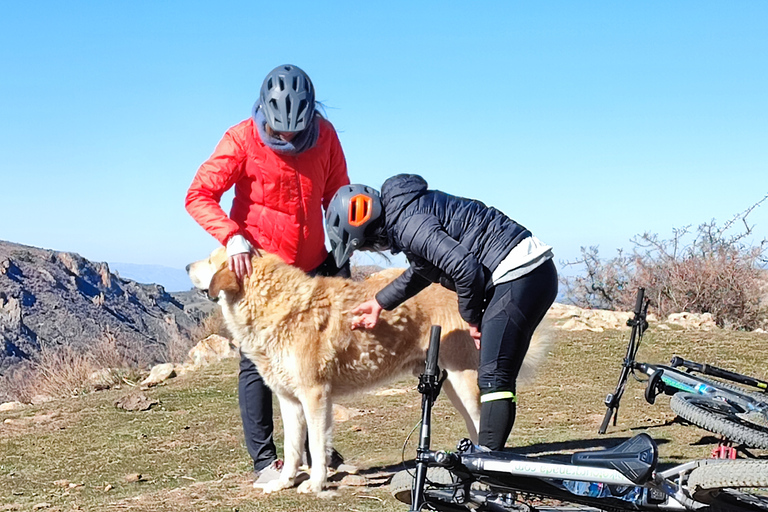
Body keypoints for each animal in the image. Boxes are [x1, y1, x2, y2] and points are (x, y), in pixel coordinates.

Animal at [186, 250, 544, 494]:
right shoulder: (289, 401)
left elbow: (317, 446)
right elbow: (292, 448)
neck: (278, 306)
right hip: (452, 385)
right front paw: (285, 482)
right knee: (475, 425)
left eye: (210, 259)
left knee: (484, 422)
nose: (187, 266)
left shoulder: (316, 396)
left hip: (464, 382)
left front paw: (315, 484)